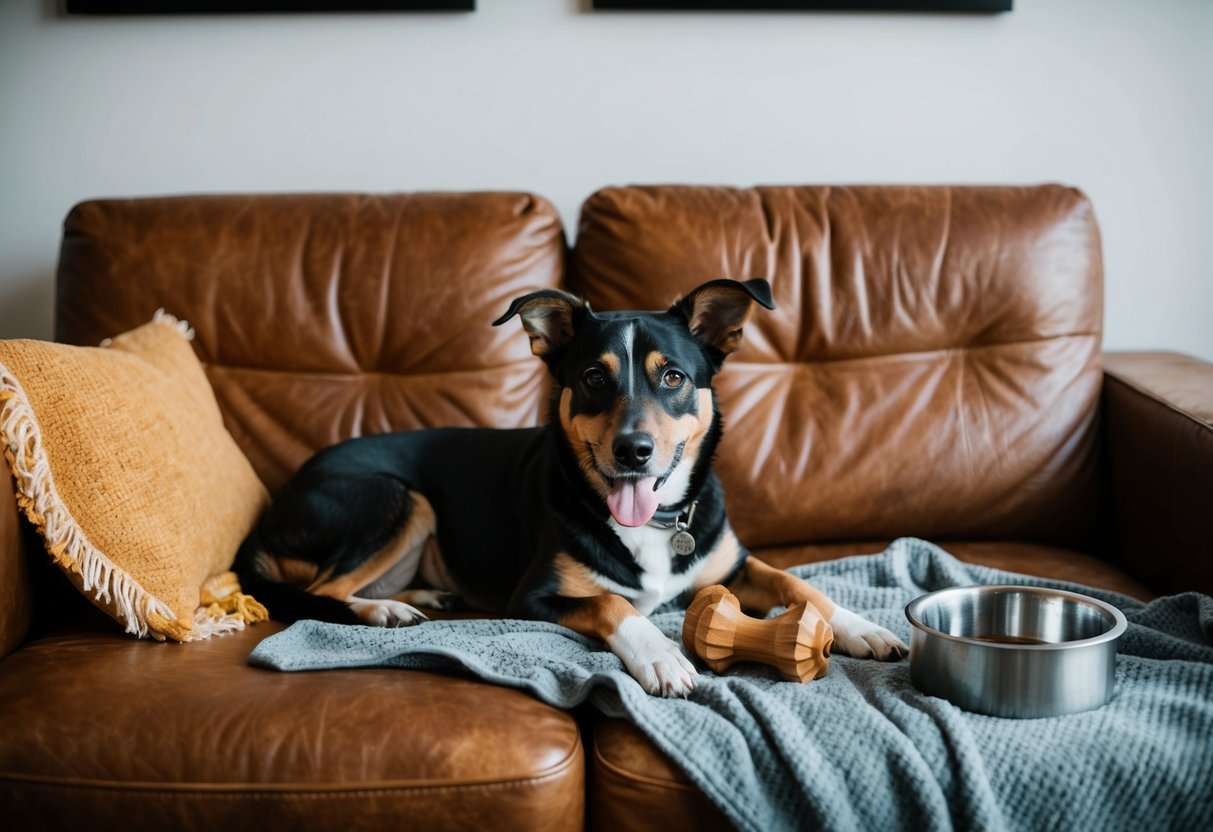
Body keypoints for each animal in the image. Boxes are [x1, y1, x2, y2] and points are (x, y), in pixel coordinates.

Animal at [234, 280, 902, 698]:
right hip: (397, 498)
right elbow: (611, 603)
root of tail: (274, 507)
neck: (653, 525)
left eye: (674, 377)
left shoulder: (729, 562)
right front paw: (659, 655)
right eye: (591, 378)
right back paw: (385, 609)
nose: (633, 451)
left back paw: (422, 595)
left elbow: (797, 584)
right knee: (320, 592)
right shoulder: (532, 597)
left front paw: (859, 627)